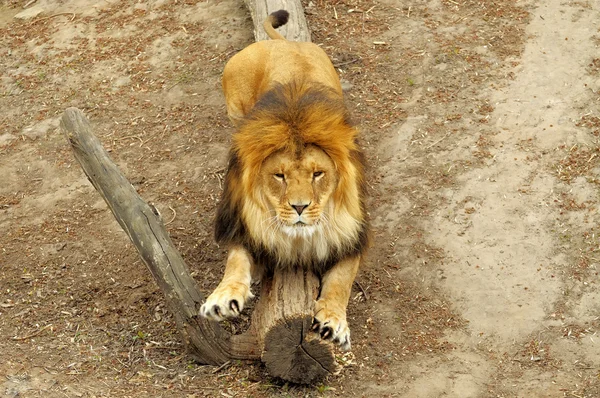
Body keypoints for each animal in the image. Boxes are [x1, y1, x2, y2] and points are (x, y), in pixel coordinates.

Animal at [199, 10, 368, 352]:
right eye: (279, 175)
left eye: (318, 174)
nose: (299, 207)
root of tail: (285, 43)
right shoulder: (246, 229)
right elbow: (235, 261)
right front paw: (223, 298)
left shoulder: (351, 235)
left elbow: (341, 282)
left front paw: (333, 322)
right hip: (235, 104)